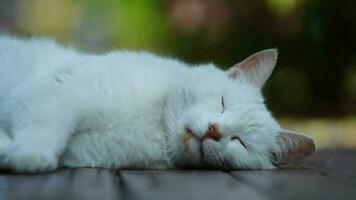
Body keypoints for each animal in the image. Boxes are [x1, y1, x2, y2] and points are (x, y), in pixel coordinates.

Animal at [0, 35, 314, 172]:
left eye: (240, 142)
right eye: (223, 103)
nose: (214, 130)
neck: (156, 127)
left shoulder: (87, 151)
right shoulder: (53, 90)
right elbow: (46, 124)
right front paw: (29, 155)